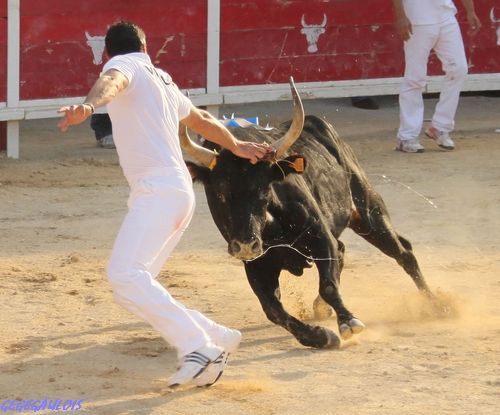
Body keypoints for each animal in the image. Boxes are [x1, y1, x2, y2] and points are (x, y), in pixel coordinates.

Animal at [183, 88, 438, 352]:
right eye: (220, 193)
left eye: (264, 189)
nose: (245, 245)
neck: (272, 227)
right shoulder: (256, 264)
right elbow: (273, 310)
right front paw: (320, 336)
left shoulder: (321, 239)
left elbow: (328, 285)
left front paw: (348, 322)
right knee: (346, 250)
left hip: (368, 212)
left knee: (403, 253)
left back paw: (436, 305)